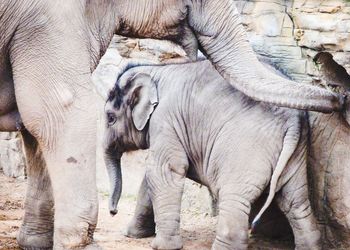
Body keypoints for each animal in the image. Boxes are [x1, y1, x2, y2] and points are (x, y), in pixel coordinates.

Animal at [103, 60, 320, 250]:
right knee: (296, 202)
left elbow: (164, 170)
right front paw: (133, 234)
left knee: (233, 199)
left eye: (110, 118)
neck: (155, 70)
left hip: (246, 149)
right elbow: (153, 177)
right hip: (297, 153)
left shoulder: (165, 120)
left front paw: (161, 246)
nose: (113, 212)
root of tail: (293, 120)